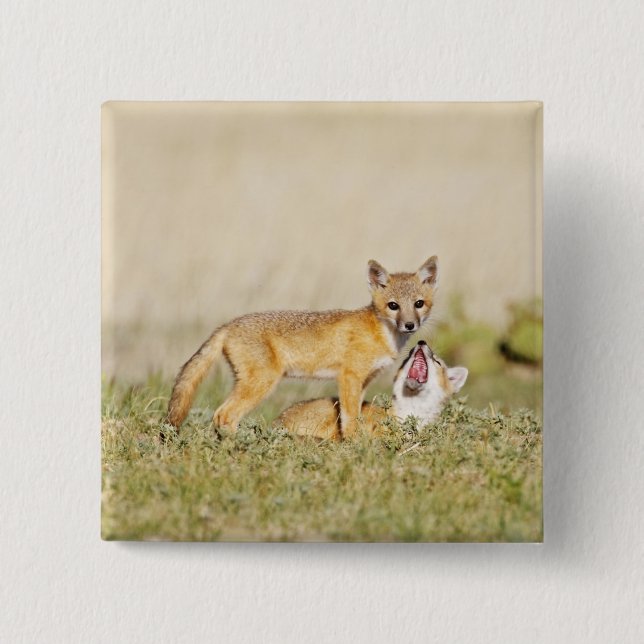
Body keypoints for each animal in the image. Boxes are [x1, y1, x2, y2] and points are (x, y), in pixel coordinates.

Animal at [166, 256, 439, 437]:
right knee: (224, 415)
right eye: (393, 306)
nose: (410, 325)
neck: (381, 333)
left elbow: (354, 415)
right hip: (262, 383)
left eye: (418, 303)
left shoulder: (363, 381)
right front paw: (353, 446)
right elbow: (349, 420)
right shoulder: (349, 377)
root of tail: (227, 325)